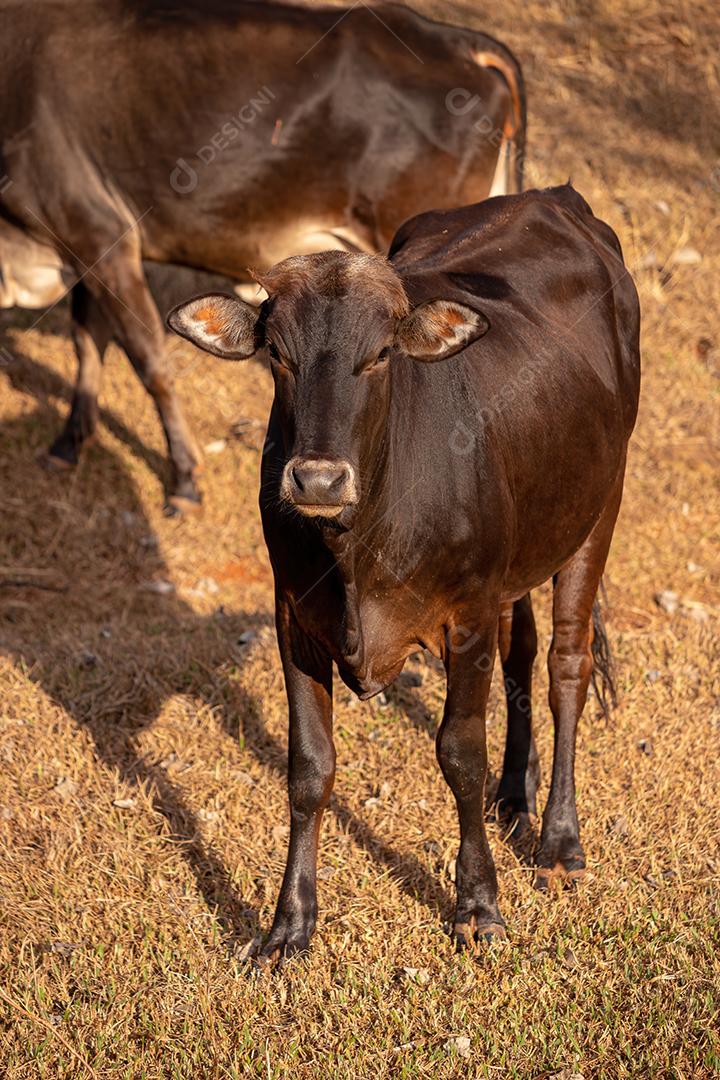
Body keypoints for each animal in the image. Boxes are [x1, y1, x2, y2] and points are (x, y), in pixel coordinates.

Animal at [0, 0, 525, 514]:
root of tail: (456, 40)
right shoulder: (84, 250)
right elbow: (87, 342)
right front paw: (68, 443)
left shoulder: (100, 232)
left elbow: (150, 363)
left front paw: (184, 478)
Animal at [166, 183, 641, 964]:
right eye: (279, 355)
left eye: (381, 354)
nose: (318, 479)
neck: (358, 545)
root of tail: (552, 195)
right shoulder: (294, 619)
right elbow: (309, 767)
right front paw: (289, 924)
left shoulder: (467, 616)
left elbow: (460, 753)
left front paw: (478, 904)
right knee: (524, 653)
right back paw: (516, 797)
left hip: (598, 512)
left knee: (565, 670)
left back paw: (558, 843)